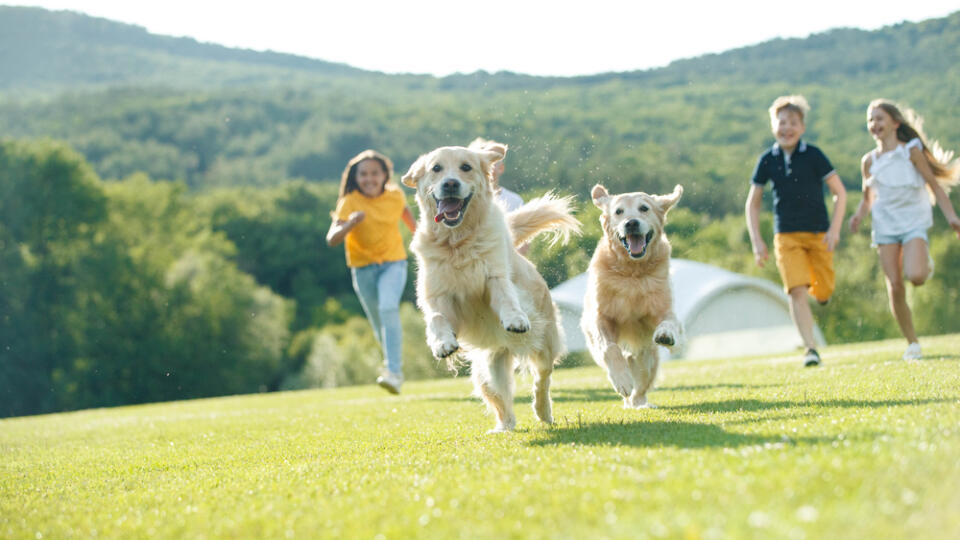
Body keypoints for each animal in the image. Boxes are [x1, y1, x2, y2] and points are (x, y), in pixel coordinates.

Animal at [404, 144, 580, 434]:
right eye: (436, 168)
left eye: (466, 167)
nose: (450, 184)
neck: (457, 242)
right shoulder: (436, 294)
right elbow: (437, 318)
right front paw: (442, 344)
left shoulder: (495, 276)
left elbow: (506, 297)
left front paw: (515, 319)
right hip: (488, 368)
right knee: (501, 400)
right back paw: (503, 427)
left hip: (544, 342)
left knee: (542, 379)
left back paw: (543, 412)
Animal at [580, 186, 688, 410]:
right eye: (618, 211)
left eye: (644, 208)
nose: (631, 223)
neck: (632, 273)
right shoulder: (601, 317)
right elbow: (609, 348)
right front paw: (621, 379)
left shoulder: (663, 309)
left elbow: (669, 322)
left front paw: (666, 334)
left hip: (647, 359)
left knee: (640, 389)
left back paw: (640, 405)